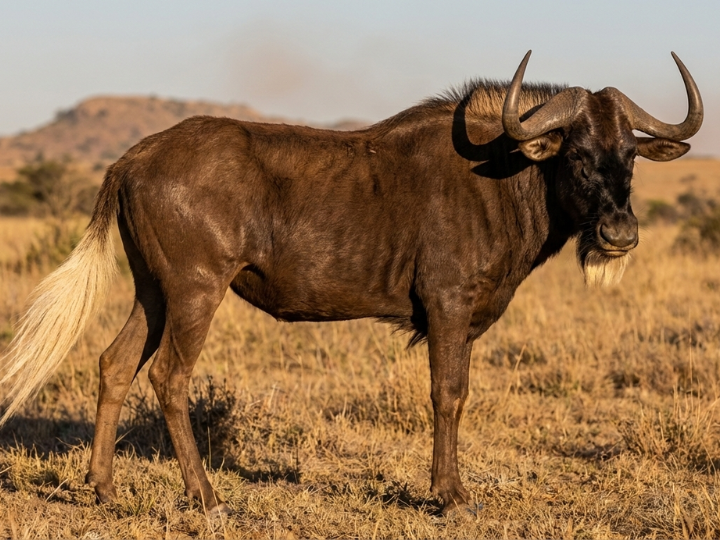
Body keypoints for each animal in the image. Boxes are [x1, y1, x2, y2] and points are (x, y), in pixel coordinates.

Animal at [0, 51, 703, 516]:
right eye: (576, 153)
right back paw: (205, 496)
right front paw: (449, 495)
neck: (502, 174)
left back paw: (104, 489)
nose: (619, 233)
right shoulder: (447, 307)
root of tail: (132, 157)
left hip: (153, 293)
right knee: (169, 376)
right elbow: (449, 395)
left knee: (114, 364)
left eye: (630, 154)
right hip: (196, 292)